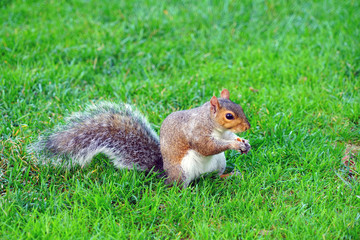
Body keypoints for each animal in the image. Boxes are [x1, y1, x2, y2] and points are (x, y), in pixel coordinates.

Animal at [28, 88, 250, 188]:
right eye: (229, 116)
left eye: (239, 107)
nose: (247, 126)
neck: (216, 128)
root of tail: (164, 173)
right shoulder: (196, 132)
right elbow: (206, 146)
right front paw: (233, 144)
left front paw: (243, 143)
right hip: (182, 171)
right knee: (178, 187)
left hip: (219, 163)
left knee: (214, 176)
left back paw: (229, 176)